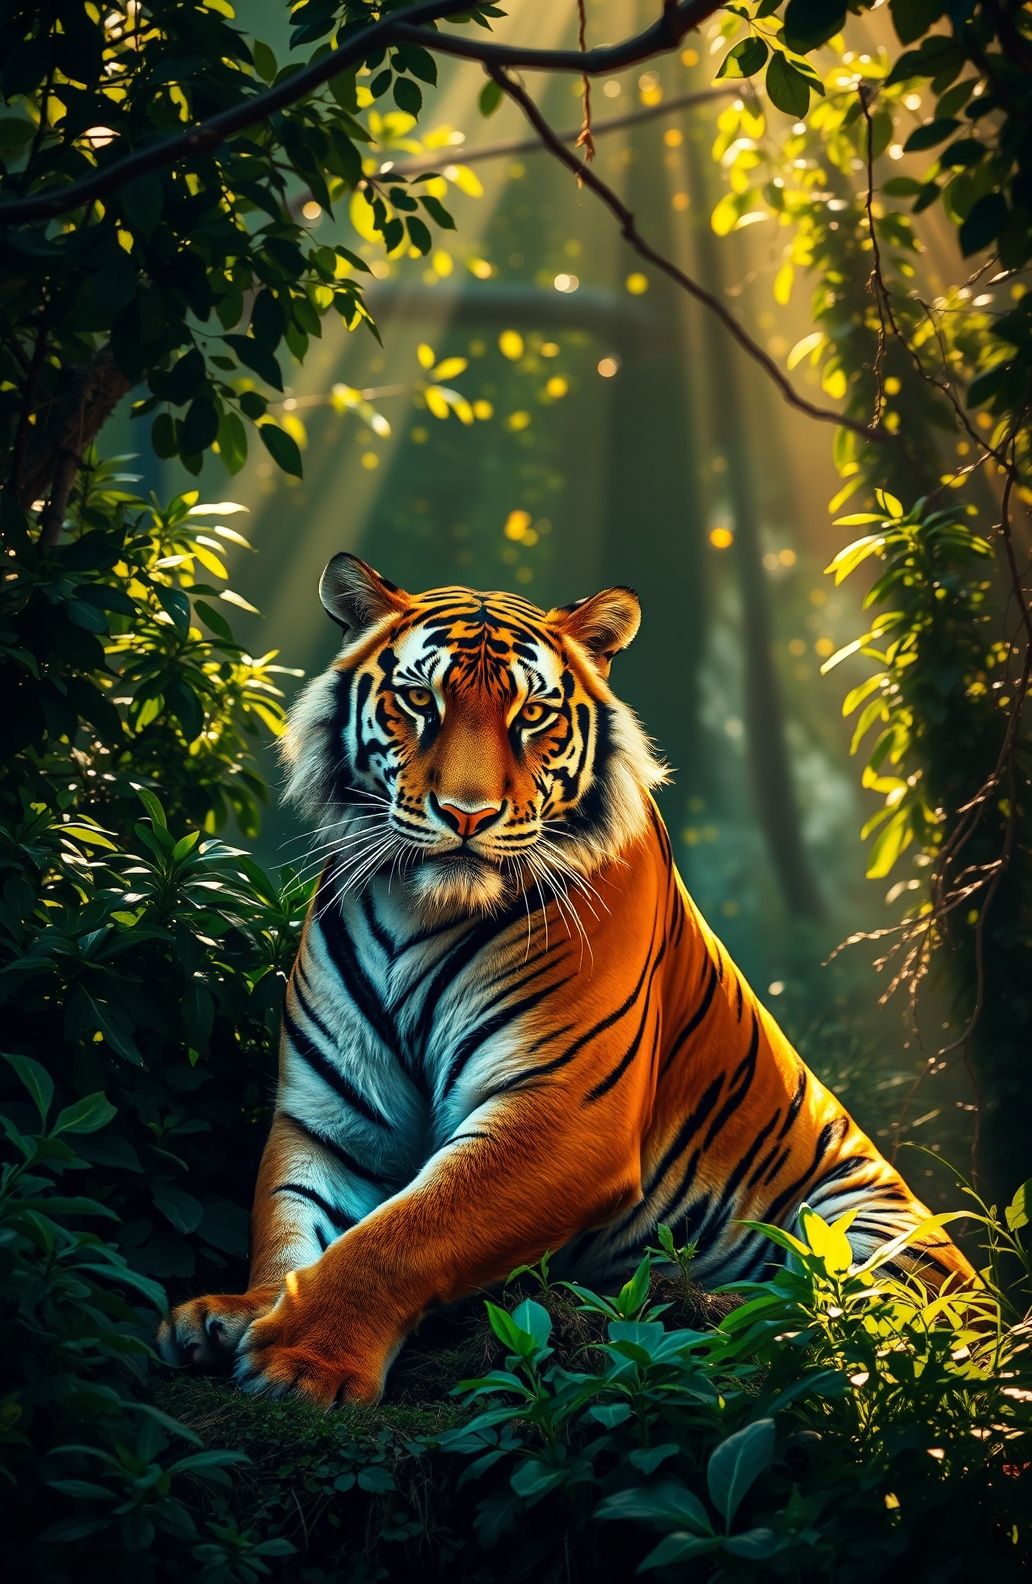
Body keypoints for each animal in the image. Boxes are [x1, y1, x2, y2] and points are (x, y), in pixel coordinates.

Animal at [159, 553, 975, 1405]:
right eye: (419, 700)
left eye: (533, 714)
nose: (467, 815)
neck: (418, 910)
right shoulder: (332, 1115)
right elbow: (290, 1219)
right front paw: (240, 1311)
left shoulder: (561, 1110)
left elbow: (403, 1233)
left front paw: (302, 1361)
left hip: (869, 1230)